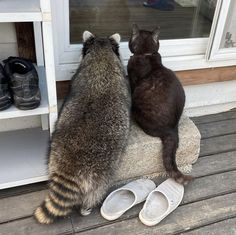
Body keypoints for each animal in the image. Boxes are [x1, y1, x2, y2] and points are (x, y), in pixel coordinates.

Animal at [34, 30, 131, 224]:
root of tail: (69, 166)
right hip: (101, 173)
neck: (101, 54)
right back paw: (86, 207)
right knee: (96, 191)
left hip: (53, 155)